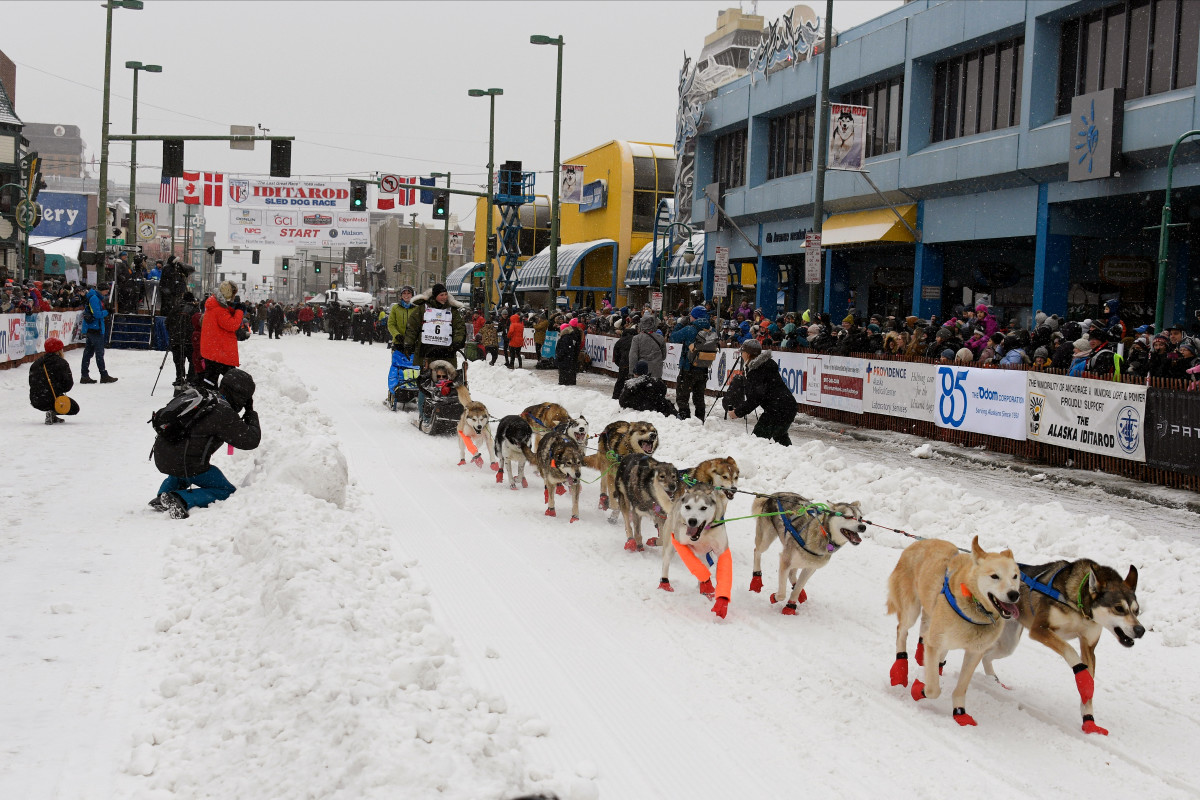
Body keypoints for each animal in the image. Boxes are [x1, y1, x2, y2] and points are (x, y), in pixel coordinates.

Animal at [657, 482, 729, 618]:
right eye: (688, 507)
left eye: (703, 508)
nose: (692, 520)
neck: (703, 532)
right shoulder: (681, 544)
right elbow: (696, 566)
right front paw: (707, 587)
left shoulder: (721, 550)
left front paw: (720, 602)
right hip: (669, 546)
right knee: (665, 564)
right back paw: (665, 584)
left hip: (705, 555)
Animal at [883, 537, 1022, 724]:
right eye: (995, 576)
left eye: (1015, 576)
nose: (1014, 594)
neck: (975, 607)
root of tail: (919, 542)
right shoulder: (935, 644)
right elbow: (933, 689)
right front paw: (919, 689)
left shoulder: (974, 653)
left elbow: (961, 687)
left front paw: (960, 712)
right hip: (911, 611)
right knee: (902, 632)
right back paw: (900, 669)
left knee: (926, 634)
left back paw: (921, 654)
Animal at [984, 561, 1142, 734]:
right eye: (1119, 608)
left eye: (1137, 610)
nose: (1140, 630)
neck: (1078, 604)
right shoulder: (1039, 629)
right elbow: (1070, 651)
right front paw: (1084, 679)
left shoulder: (1088, 646)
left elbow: (1088, 688)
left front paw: (1089, 720)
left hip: (1008, 643)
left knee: (985, 656)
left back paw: (992, 681)